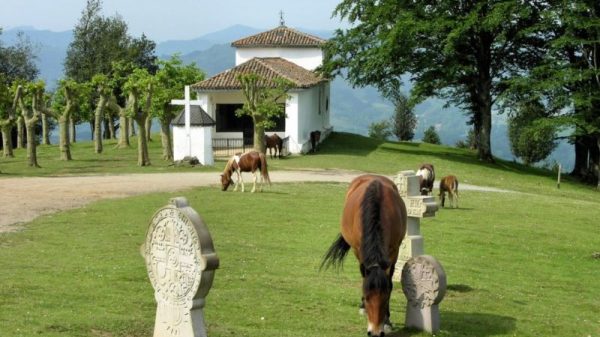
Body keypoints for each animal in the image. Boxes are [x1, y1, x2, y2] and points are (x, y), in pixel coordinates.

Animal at [318, 175, 408, 334]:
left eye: (385, 298)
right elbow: (363, 278)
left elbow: (390, 282)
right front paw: (363, 306)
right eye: (366, 297)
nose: (375, 332)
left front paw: (387, 321)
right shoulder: (359, 250)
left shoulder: (394, 252)